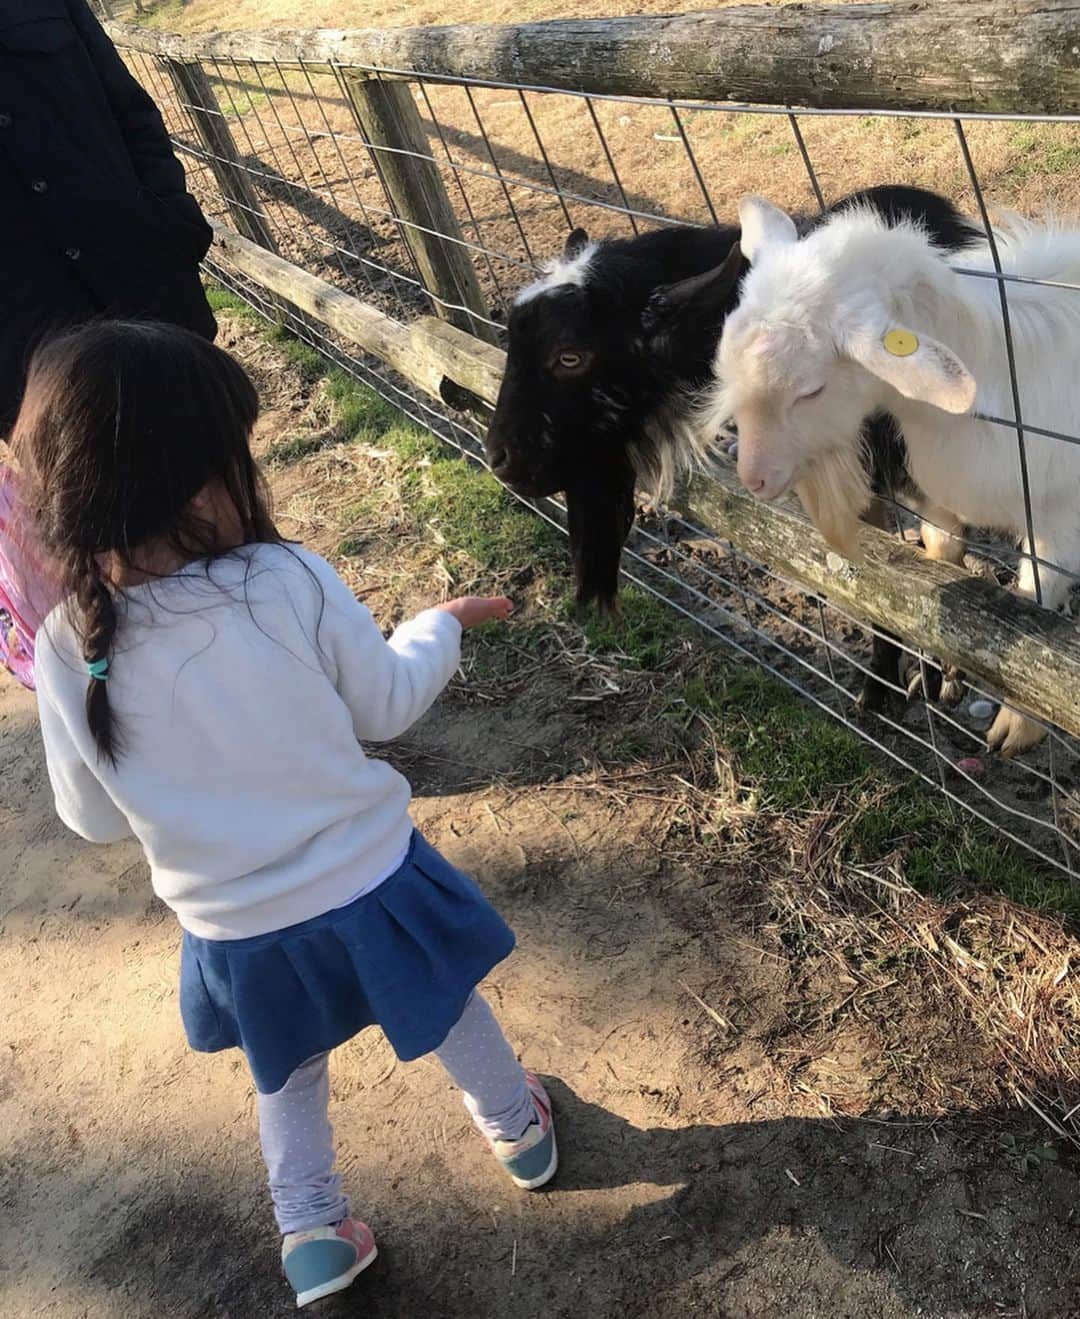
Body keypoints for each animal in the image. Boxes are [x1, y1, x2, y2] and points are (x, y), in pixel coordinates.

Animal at [485, 182, 986, 717]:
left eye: (570, 357)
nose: (499, 459)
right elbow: (875, 584)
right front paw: (882, 685)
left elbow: (932, 569)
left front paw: (937, 681)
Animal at [701, 191, 1080, 759]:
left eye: (812, 390)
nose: (753, 479)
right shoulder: (938, 499)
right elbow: (938, 565)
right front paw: (935, 671)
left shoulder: (1058, 524)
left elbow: (1037, 622)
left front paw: (1017, 725)